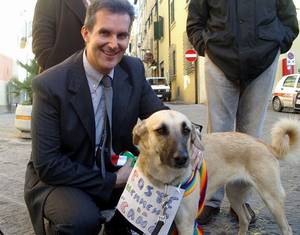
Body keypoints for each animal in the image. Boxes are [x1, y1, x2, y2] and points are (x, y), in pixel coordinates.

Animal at [132, 109, 300, 235]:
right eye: (161, 130)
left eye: (186, 130)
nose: (183, 159)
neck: (166, 180)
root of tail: (264, 144)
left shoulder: (185, 224)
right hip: (234, 195)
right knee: (244, 219)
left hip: (272, 200)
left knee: (287, 229)